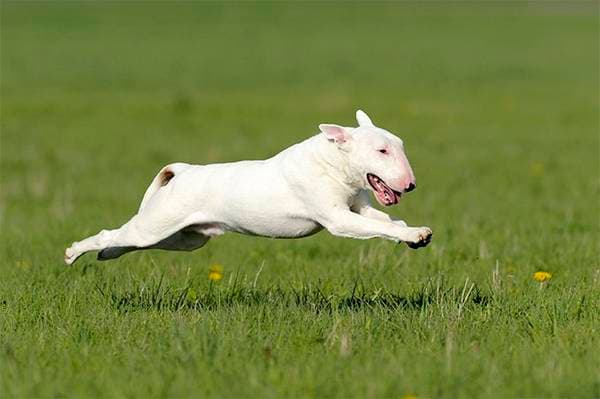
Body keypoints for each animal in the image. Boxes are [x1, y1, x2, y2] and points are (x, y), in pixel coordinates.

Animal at [64, 109, 432, 266]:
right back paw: (73, 253)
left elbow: (384, 221)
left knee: (127, 242)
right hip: (156, 225)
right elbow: (374, 226)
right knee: (112, 233)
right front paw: (415, 234)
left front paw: (414, 234)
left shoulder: (359, 206)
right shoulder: (338, 218)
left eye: (399, 145)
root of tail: (181, 172)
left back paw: (107, 254)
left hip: (186, 238)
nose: (411, 184)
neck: (332, 163)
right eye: (381, 151)